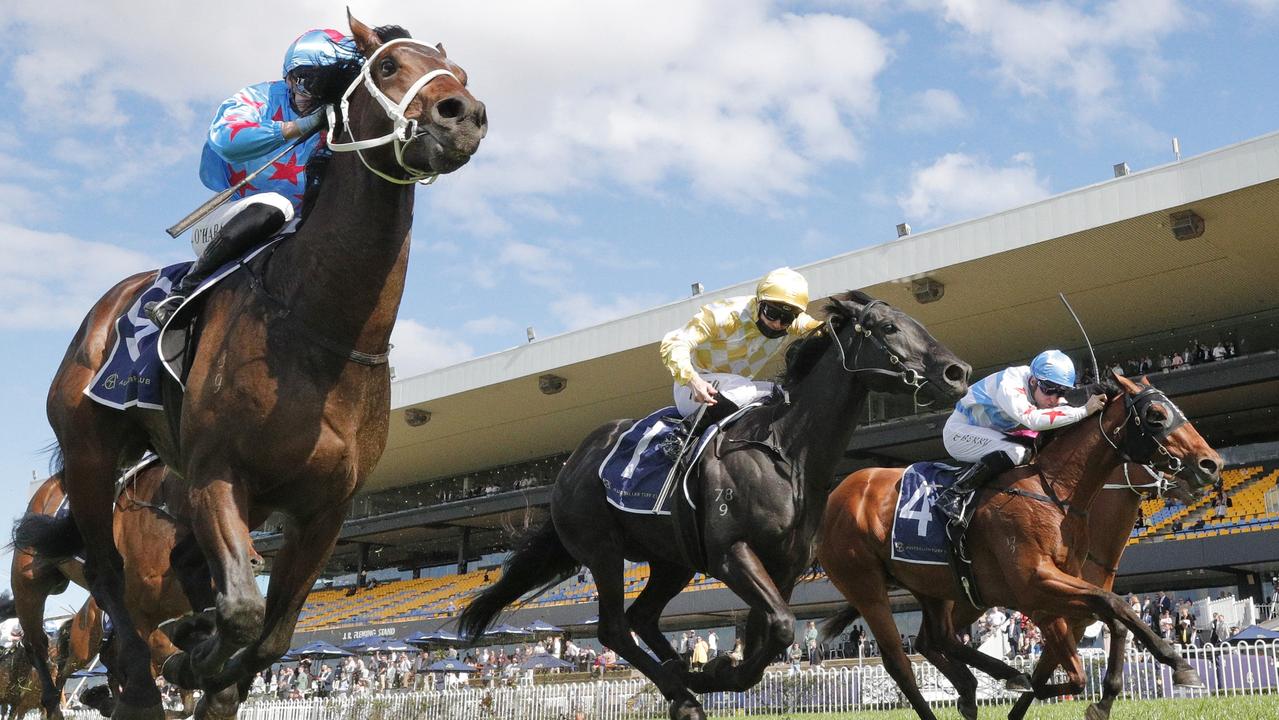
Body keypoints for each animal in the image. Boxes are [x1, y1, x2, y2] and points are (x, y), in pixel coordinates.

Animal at [42, 14, 483, 716]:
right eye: (387, 67)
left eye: (461, 74)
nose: (462, 114)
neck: (319, 328)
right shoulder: (218, 473)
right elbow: (244, 613)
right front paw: (193, 658)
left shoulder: (325, 510)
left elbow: (271, 634)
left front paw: (207, 665)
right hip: (91, 455)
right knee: (111, 580)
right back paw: (138, 677)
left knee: (187, 571)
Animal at [460, 292, 966, 720]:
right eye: (888, 327)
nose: (956, 372)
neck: (786, 451)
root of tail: (570, 466)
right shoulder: (730, 553)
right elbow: (781, 626)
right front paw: (717, 673)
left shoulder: (784, 567)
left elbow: (771, 632)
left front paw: (716, 669)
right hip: (603, 549)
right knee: (614, 629)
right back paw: (681, 692)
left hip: (672, 562)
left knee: (641, 617)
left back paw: (682, 678)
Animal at [813, 370, 1222, 720]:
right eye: (1156, 415)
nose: (1212, 463)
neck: (1054, 490)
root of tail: (838, 493)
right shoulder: (1037, 588)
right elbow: (1105, 622)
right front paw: (1179, 664)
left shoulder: (1065, 601)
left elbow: (1113, 621)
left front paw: (1106, 696)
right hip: (866, 586)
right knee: (900, 662)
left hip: (933, 586)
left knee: (936, 639)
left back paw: (976, 686)